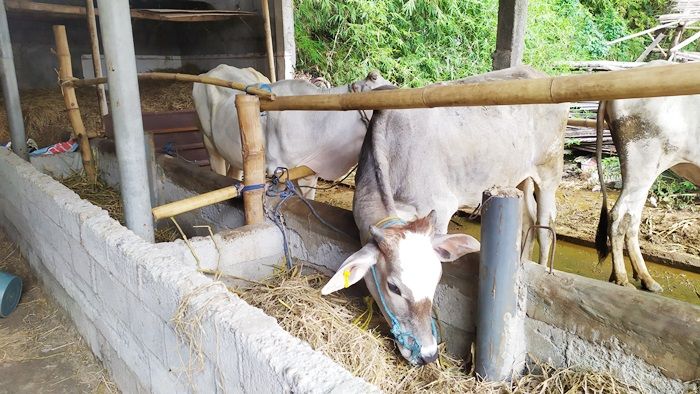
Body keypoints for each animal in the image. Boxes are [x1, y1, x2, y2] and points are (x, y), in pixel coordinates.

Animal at [322, 66, 568, 364]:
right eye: (394, 287)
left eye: (436, 279)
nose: (428, 354)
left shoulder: (441, 208)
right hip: (519, 178)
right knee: (527, 221)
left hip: (550, 172)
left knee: (545, 226)